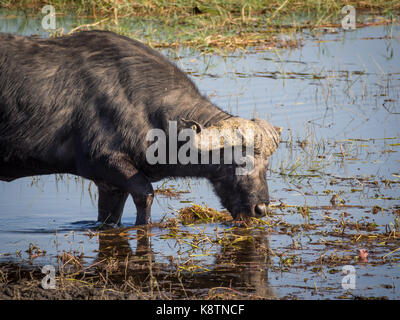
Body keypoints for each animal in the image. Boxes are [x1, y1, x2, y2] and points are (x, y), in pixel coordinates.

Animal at [0, 30, 282, 225]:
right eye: (239, 160)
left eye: (267, 164)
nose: (260, 209)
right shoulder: (104, 161)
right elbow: (145, 195)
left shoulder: (110, 185)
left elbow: (109, 218)